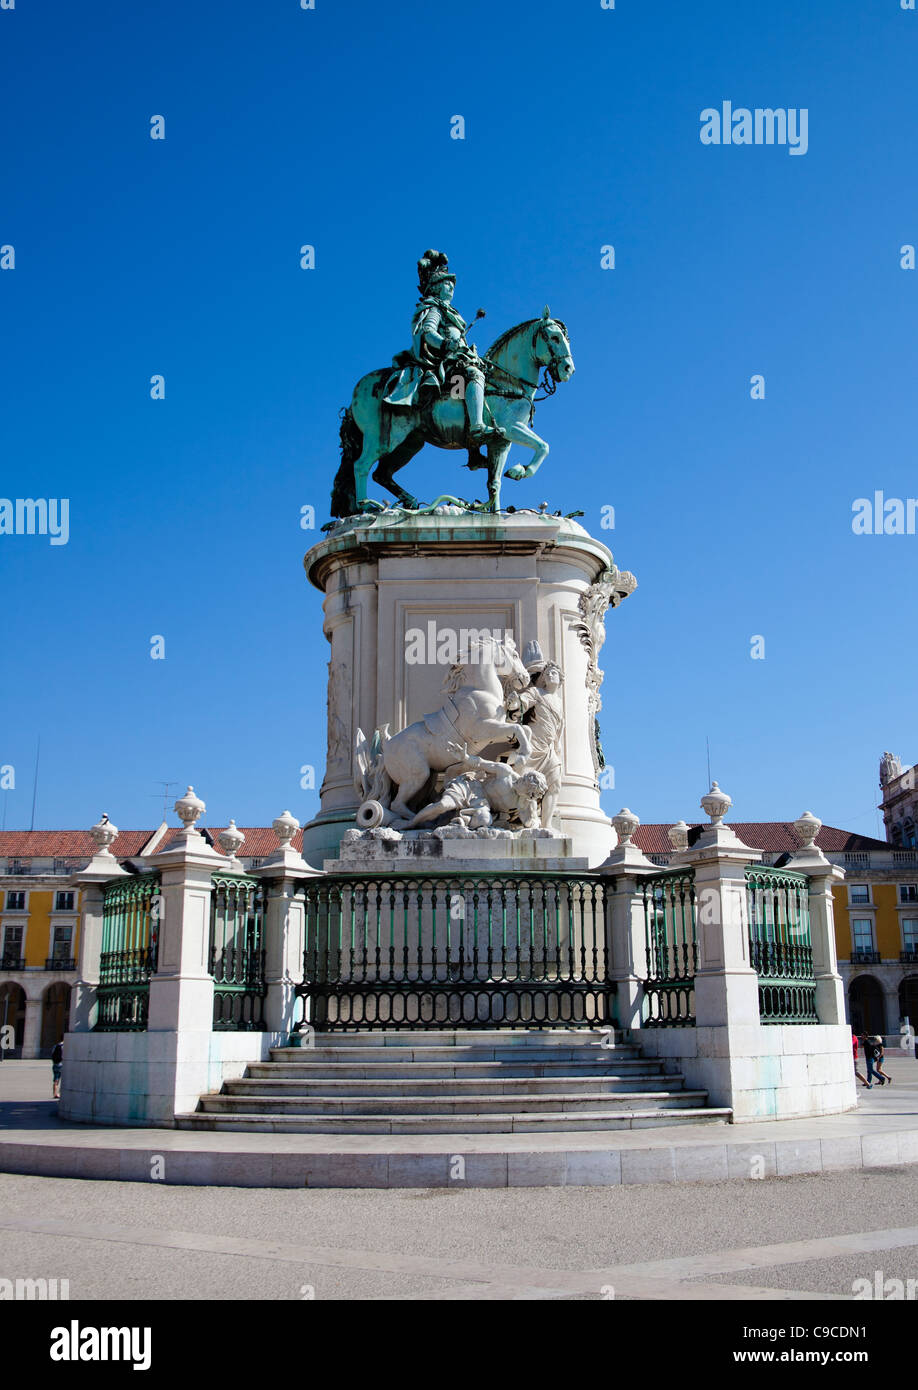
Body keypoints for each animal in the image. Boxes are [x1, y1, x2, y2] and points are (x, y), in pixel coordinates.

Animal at [329, 308, 573, 517]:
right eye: (554, 337)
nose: (568, 369)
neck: (507, 381)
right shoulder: (511, 427)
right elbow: (544, 446)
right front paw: (520, 470)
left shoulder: (501, 442)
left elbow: (494, 483)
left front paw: (496, 514)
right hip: (383, 438)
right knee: (361, 466)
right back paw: (365, 506)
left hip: (409, 443)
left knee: (381, 473)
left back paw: (410, 502)